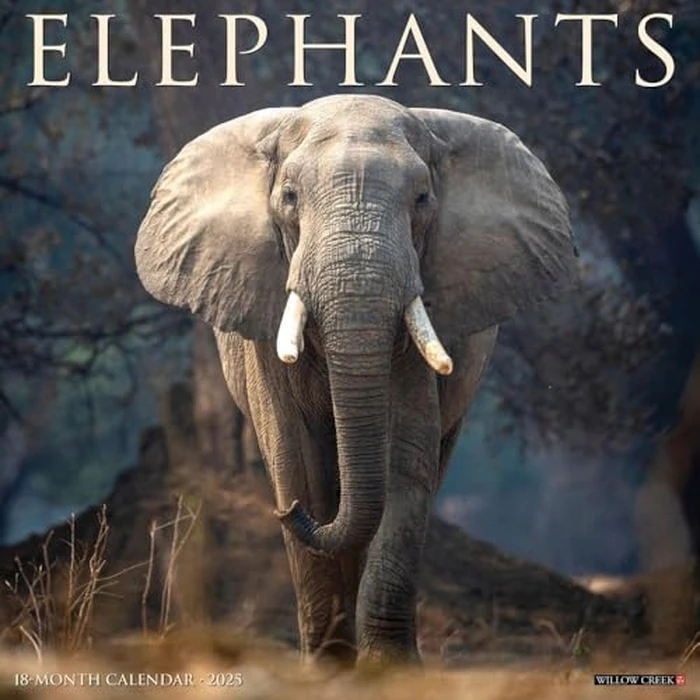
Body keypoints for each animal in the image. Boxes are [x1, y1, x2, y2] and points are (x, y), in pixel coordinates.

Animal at [134, 94, 577, 666]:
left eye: (423, 198)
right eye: (290, 197)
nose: (287, 513)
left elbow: (403, 462)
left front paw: (388, 666)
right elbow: (297, 463)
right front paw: (326, 666)